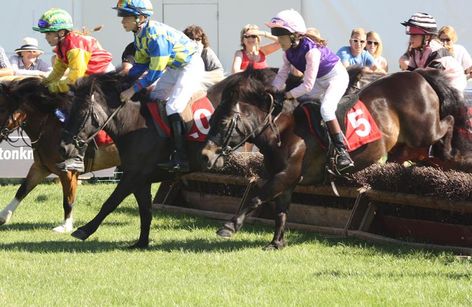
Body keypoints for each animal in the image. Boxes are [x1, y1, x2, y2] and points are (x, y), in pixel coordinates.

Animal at [0, 77, 121, 233]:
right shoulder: (41, 167)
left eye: (3, 108)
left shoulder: (68, 172)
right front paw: (3, 216)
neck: (49, 128)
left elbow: (68, 200)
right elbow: (22, 190)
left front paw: (66, 226)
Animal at [201, 67, 470, 250]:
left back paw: (451, 151)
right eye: (211, 119)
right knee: (415, 152)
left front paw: (228, 227)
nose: (206, 155)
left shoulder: (285, 174)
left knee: (449, 122)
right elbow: (281, 210)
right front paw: (276, 242)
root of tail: (419, 75)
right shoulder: (287, 179)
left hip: (424, 130)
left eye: (223, 122)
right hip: (409, 142)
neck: (284, 128)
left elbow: (257, 197)